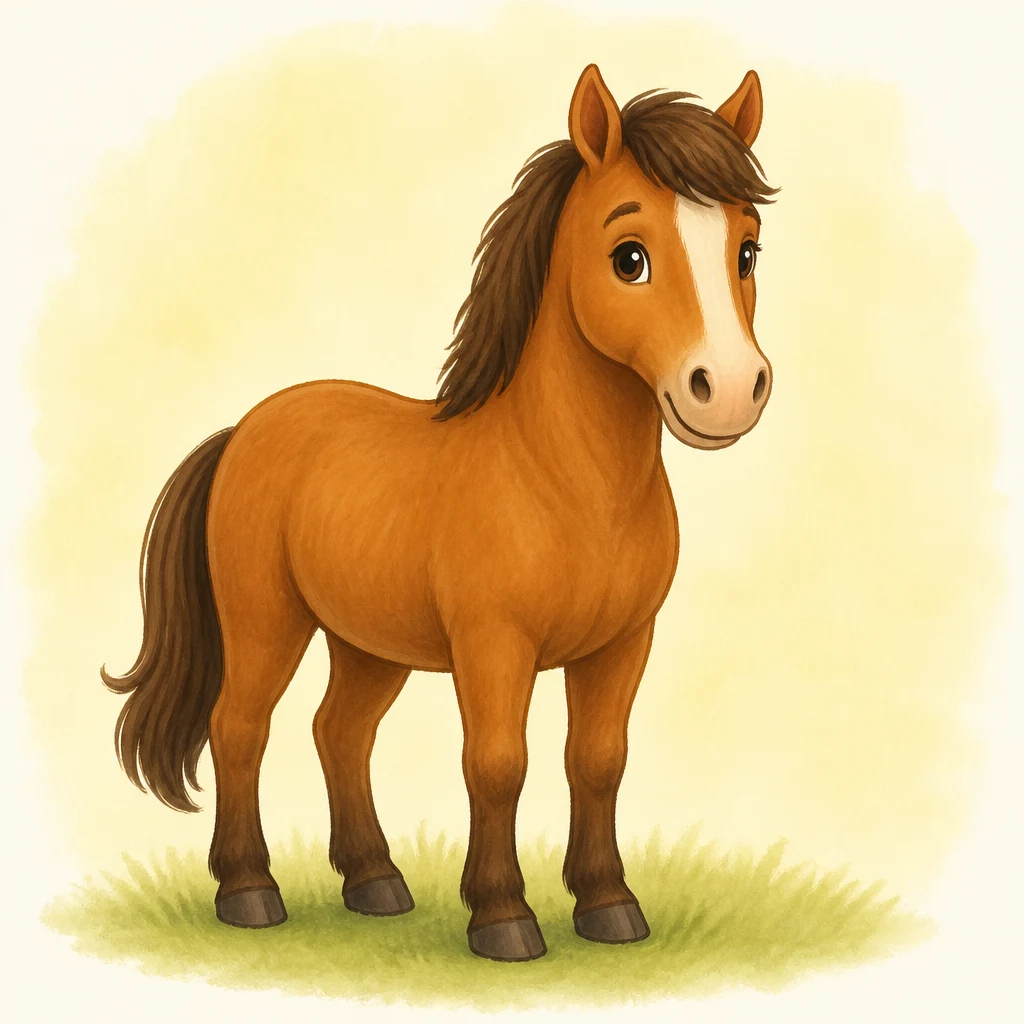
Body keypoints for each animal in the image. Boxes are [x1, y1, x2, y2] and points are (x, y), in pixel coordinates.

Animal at [103, 63, 776, 962]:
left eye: (747, 249)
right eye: (629, 256)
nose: (730, 389)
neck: (565, 482)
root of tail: (245, 429)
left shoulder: (624, 644)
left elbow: (598, 760)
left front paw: (608, 905)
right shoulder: (494, 647)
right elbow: (496, 763)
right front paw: (502, 918)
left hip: (367, 642)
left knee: (339, 733)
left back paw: (374, 883)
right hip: (266, 622)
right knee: (240, 729)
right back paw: (249, 892)